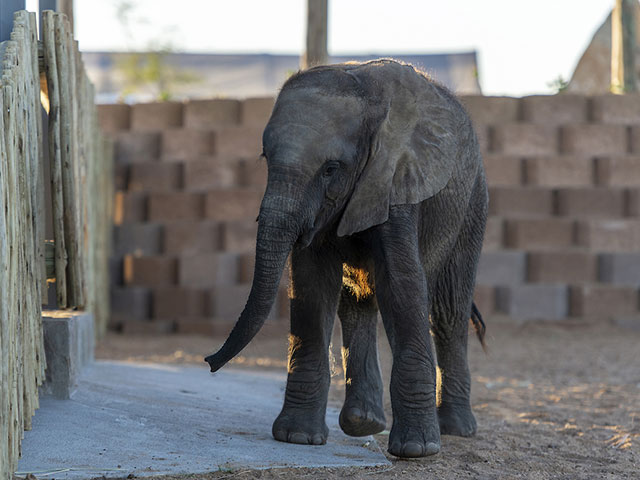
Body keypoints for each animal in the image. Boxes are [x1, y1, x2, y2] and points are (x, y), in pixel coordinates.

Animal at [205, 59, 488, 458]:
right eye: (265, 158)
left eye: (330, 169)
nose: (208, 362)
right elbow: (312, 286)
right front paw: (297, 438)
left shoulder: (396, 180)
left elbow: (401, 285)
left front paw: (417, 449)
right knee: (357, 302)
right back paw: (362, 423)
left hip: (473, 202)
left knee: (449, 310)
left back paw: (456, 429)